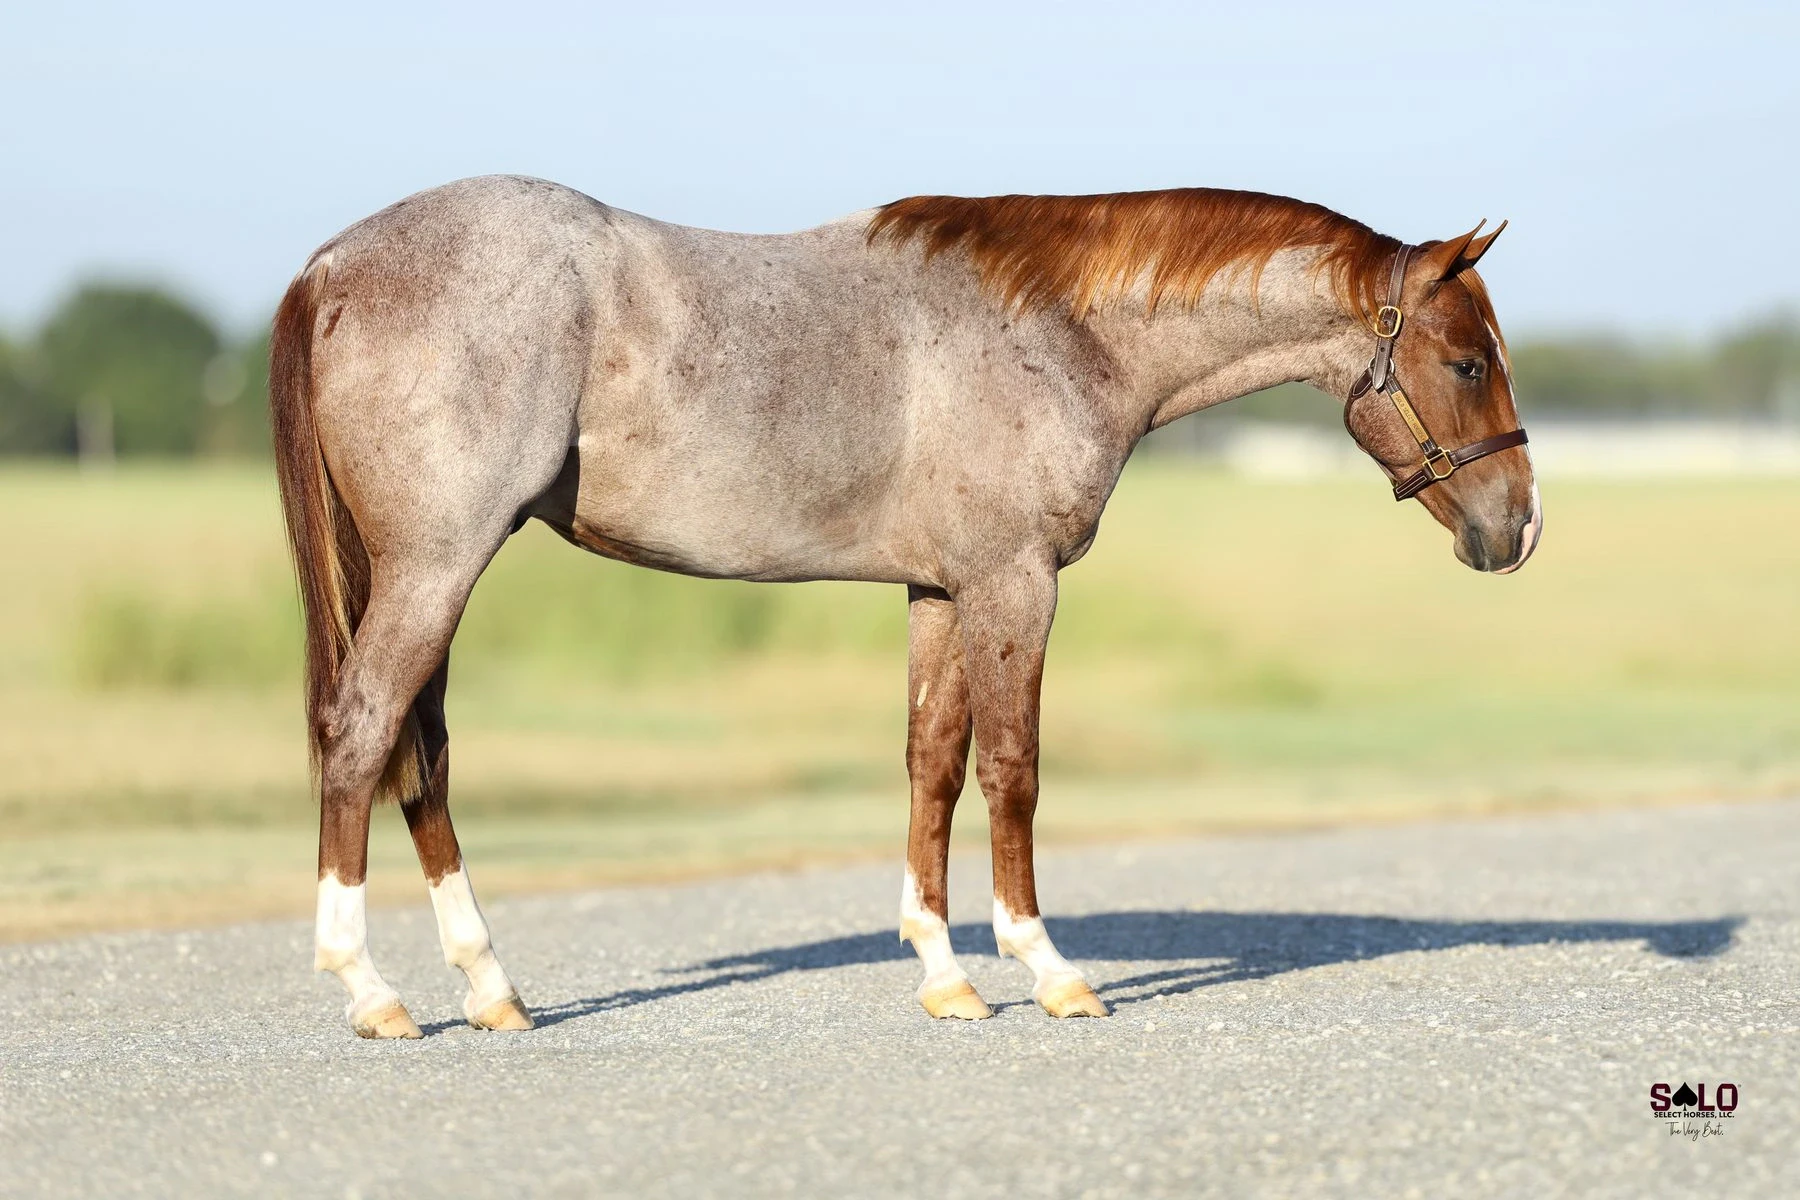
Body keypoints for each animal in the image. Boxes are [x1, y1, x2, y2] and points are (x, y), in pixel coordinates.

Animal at [270, 176, 1538, 1038]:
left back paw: (491, 987)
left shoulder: (941, 589)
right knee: (365, 733)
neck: (1055, 331)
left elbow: (932, 764)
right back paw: (372, 991)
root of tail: (330, 264)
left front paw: (946, 974)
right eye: (1467, 362)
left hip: (426, 572)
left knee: (423, 755)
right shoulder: (1016, 582)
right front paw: (1048, 969)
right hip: (436, 566)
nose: (1516, 528)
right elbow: (1012, 771)